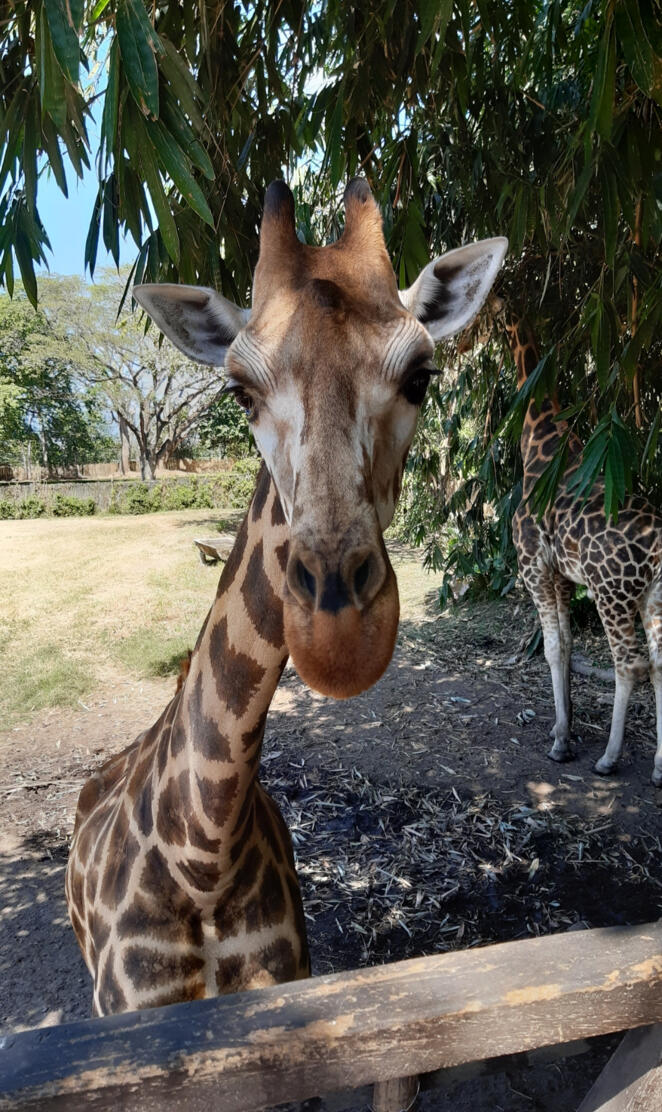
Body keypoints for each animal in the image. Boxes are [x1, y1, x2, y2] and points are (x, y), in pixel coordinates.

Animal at [507, 315, 662, 785]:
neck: (540, 444)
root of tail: (658, 544)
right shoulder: (561, 576)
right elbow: (568, 645)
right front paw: (566, 726)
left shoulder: (533, 567)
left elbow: (553, 648)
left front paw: (561, 741)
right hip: (652, 593)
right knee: (659, 661)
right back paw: (658, 767)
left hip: (612, 591)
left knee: (630, 664)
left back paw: (610, 758)